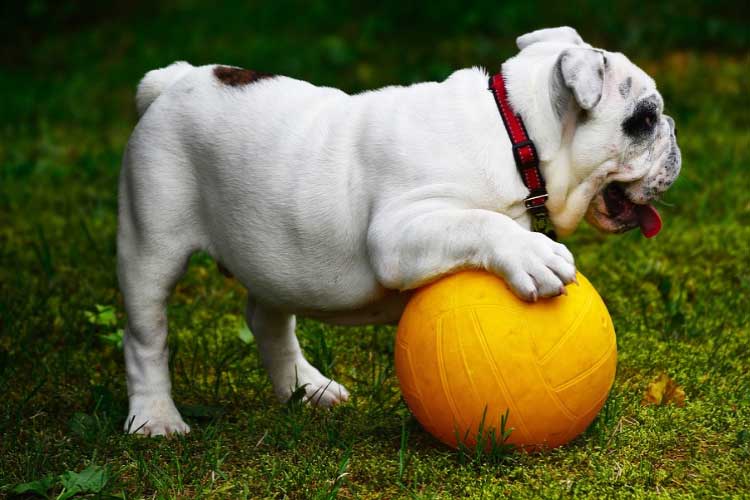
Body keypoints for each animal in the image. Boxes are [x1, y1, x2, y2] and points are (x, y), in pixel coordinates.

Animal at [116, 26, 680, 434]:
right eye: (646, 118)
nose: (674, 135)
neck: (515, 132)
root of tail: (175, 80)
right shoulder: (399, 230)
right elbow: (481, 219)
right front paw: (530, 253)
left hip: (270, 253)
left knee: (268, 321)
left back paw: (308, 389)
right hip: (151, 245)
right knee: (146, 336)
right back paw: (156, 419)